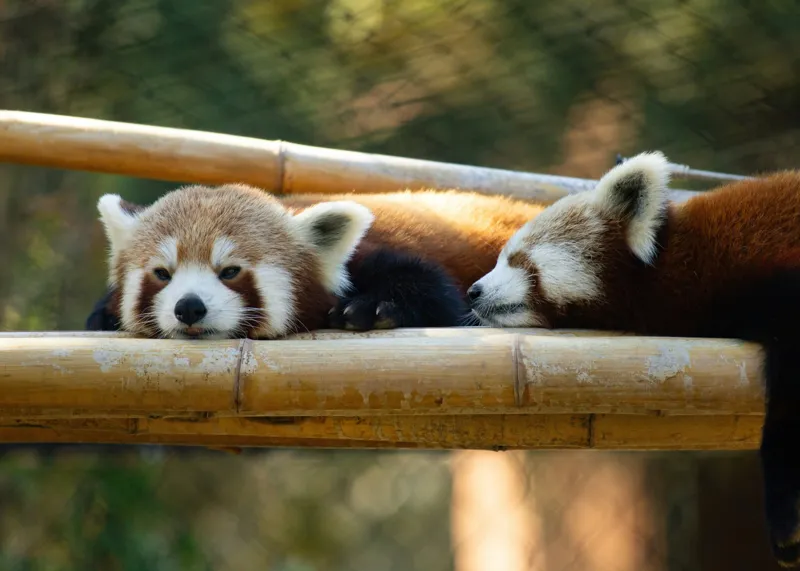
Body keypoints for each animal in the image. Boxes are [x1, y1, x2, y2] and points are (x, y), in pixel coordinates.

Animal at [87, 182, 544, 340]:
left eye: (230, 272)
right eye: (162, 274)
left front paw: (371, 307)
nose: (189, 307)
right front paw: (105, 316)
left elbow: (439, 293)